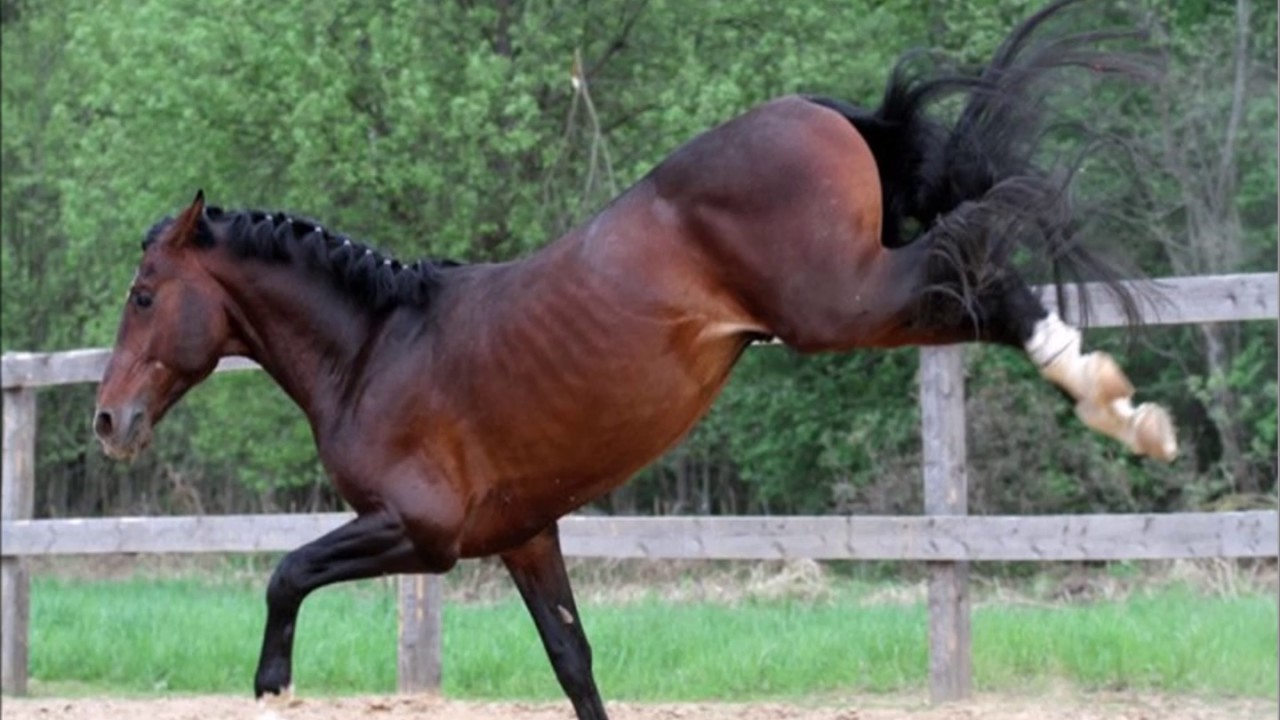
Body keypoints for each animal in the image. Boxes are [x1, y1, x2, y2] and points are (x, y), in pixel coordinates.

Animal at [97, 2, 1177, 712]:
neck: (374, 349)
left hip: (842, 302)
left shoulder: (418, 532)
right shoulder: (524, 537)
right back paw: (1125, 411)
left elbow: (285, 572)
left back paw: (1115, 406)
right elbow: (574, 667)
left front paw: (273, 684)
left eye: (143, 294)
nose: (109, 421)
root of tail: (819, 111)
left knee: (971, 259)